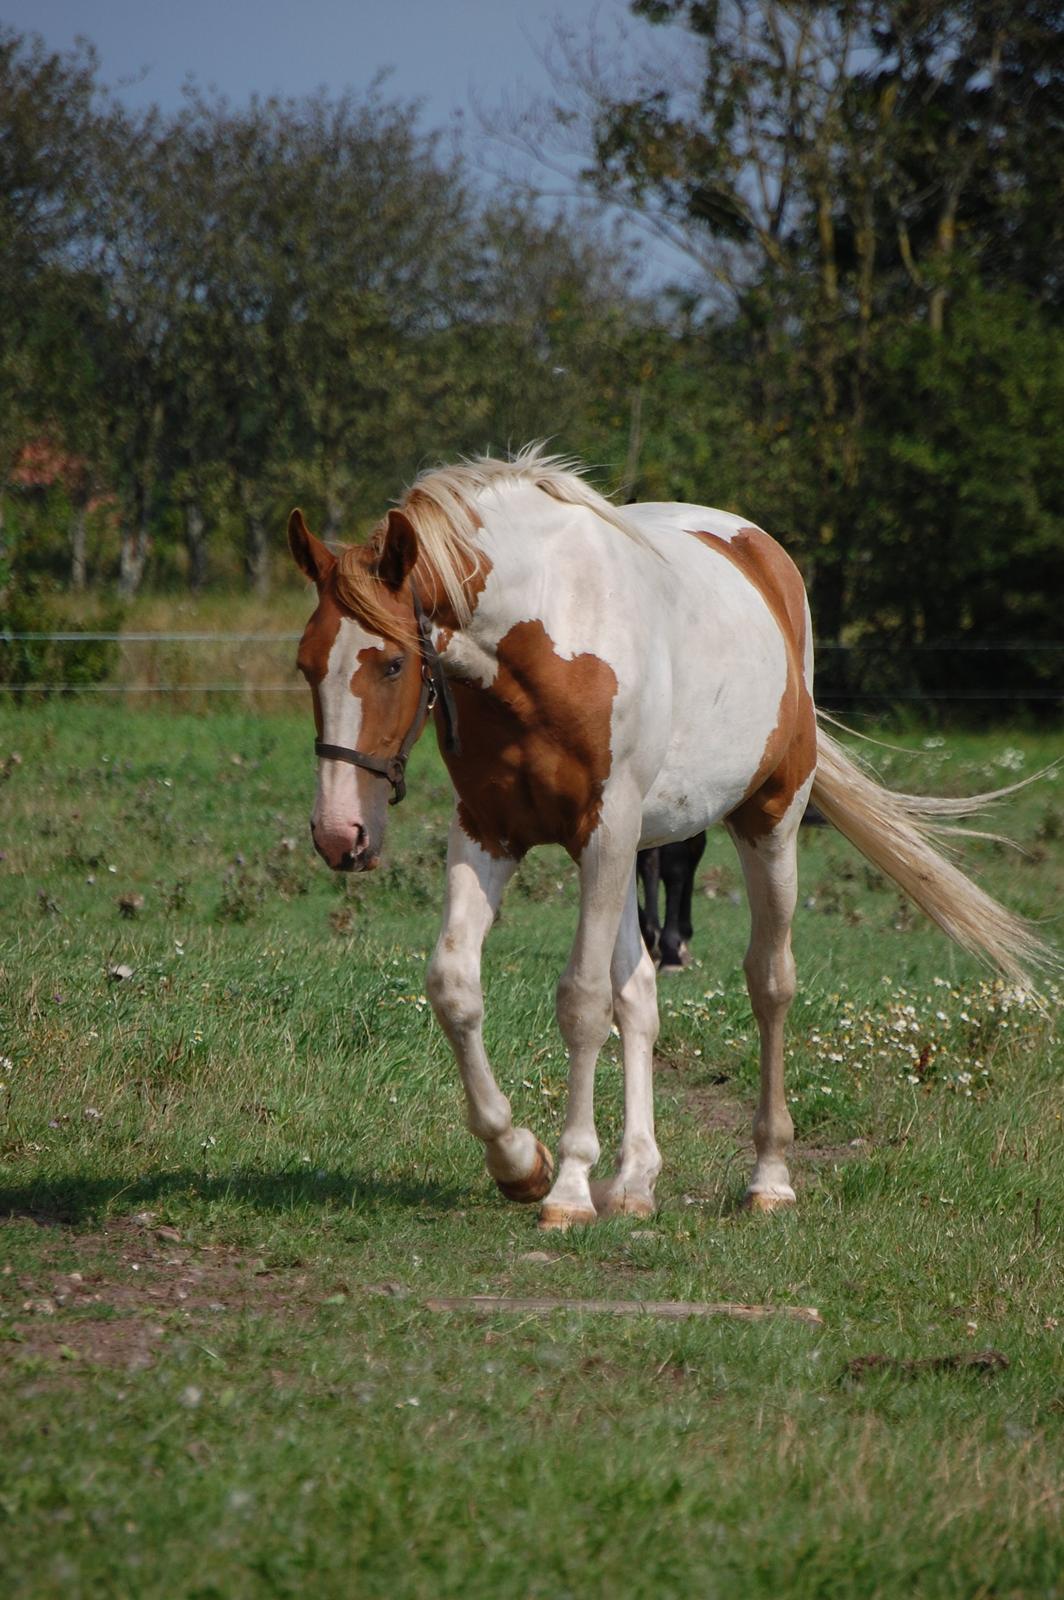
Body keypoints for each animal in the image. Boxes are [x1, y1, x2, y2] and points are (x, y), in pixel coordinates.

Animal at [286, 448, 1049, 1222]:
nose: (339, 832)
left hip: (765, 824)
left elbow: (583, 1001)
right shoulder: (491, 833)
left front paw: (566, 1187)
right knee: (642, 996)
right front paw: (520, 1161)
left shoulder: (605, 833)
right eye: (306, 664)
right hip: (632, 852)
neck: (546, 637)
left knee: (769, 983)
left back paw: (768, 1176)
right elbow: (456, 985)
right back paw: (633, 1181)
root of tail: (761, 552)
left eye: (392, 663)